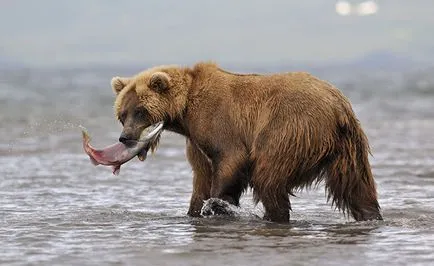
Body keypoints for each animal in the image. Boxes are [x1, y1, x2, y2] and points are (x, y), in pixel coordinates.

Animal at [110, 61, 382, 222]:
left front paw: (218, 204)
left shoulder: (217, 121)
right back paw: (370, 215)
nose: (125, 137)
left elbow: (230, 158)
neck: (184, 113)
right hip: (348, 147)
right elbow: (201, 176)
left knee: (268, 175)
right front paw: (195, 210)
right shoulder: (196, 142)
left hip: (289, 128)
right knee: (355, 185)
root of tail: (338, 105)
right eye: (122, 114)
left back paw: (274, 215)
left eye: (140, 111)